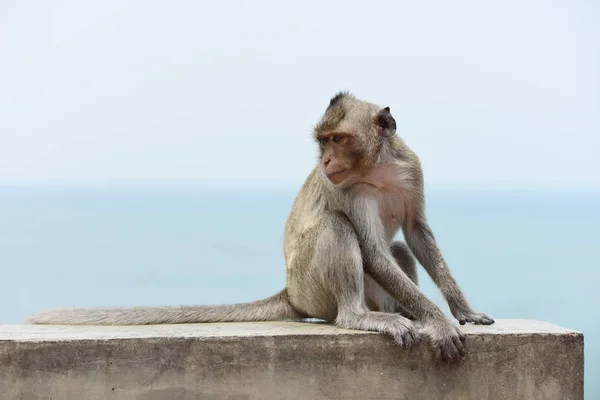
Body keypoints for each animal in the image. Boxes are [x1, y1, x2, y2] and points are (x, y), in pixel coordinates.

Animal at [24, 93, 492, 362]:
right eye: (323, 142)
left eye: (338, 139)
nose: (325, 160)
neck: (376, 169)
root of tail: (291, 293)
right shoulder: (347, 190)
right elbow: (372, 251)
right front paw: (440, 323)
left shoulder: (411, 169)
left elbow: (417, 233)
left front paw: (459, 311)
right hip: (312, 287)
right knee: (336, 228)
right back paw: (361, 317)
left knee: (397, 251)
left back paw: (400, 311)